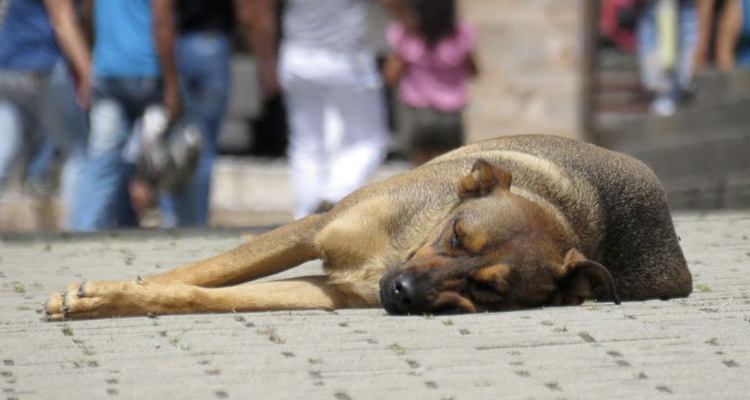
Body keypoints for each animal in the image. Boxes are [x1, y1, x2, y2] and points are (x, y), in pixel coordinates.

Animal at [45, 134, 692, 318]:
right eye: (457, 236)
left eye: (488, 288)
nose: (401, 293)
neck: (396, 252)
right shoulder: (314, 229)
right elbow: (201, 272)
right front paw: (99, 293)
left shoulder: (329, 293)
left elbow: (195, 295)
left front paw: (108, 298)